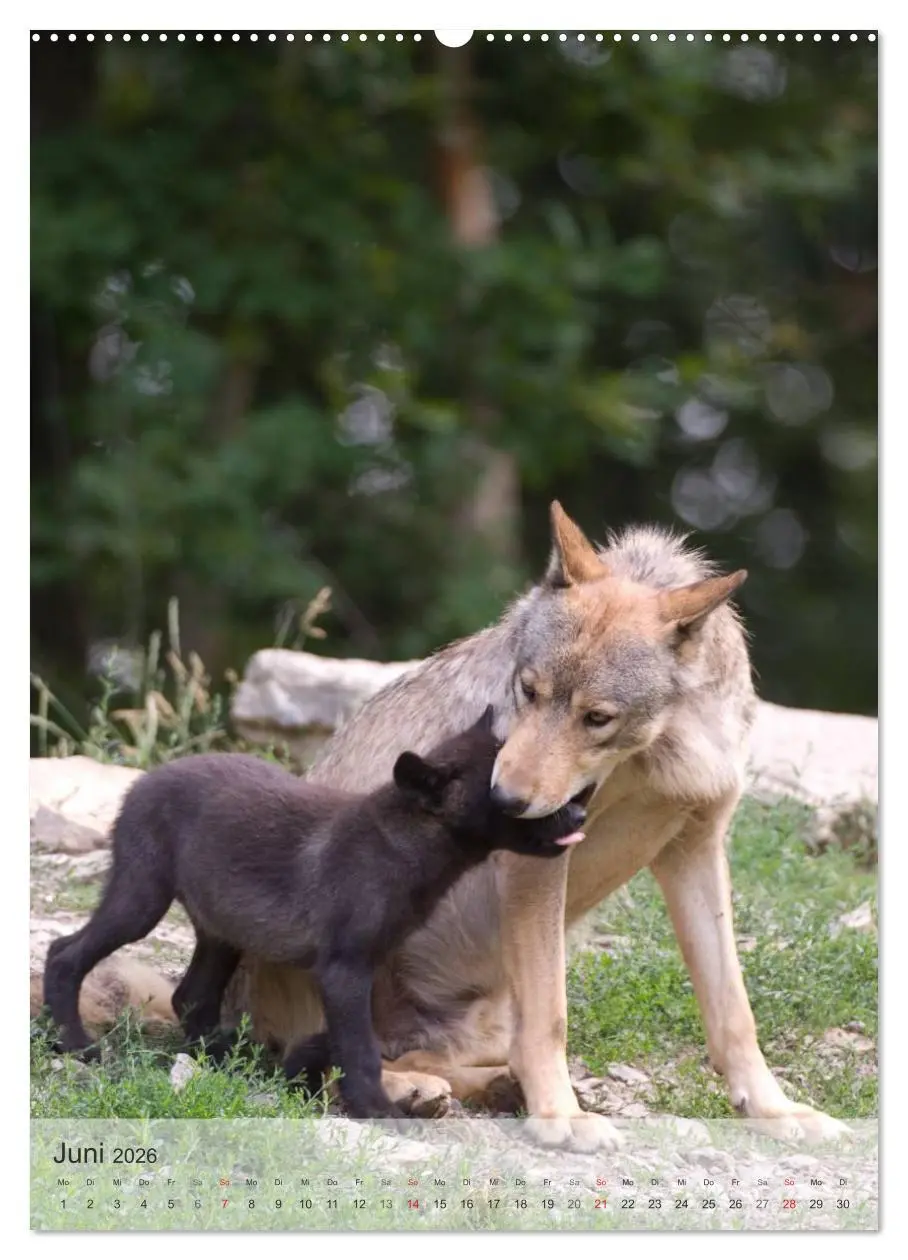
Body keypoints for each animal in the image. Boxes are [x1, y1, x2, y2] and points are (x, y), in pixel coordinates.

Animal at [42, 712, 584, 1118]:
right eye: (500, 786)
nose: (580, 813)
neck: (399, 845)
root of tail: (143, 782)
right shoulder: (344, 969)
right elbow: (361, 1050)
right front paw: (376, 1109)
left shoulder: (365, 970)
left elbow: (352, 1040)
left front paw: (300, 1073)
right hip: (140, 900)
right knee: (64, 953)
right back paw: (74, 1043)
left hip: (222, 931)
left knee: (190, 997)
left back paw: (226, 1063)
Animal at [222, 502, 847, 1148]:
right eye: (528, 690)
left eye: (597, 718)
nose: (500, 799)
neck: (662, 747)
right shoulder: (537, 864)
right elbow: (551, 1016)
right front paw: (561, 1117)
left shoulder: (696, 848)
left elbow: (733, 1012)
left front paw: (774, 1110)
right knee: (314, 1064)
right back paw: (417, 1092)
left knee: (420, 1056)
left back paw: (486, 1087)